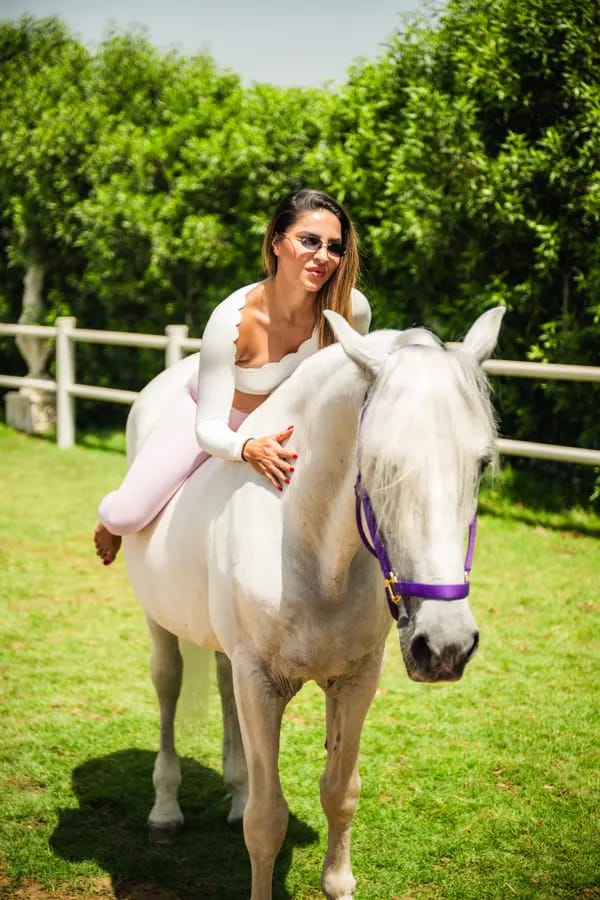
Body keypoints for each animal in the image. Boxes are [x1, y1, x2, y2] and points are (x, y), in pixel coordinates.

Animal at [123, 306, 505, 900]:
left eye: (482, 462)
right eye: (380, 460)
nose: (445, 645)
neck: (307, 549)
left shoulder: (355, 680)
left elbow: (340, 793)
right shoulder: (260, 682)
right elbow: (267, 821)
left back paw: (234, 793)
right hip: (159, 623)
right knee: (168, 688)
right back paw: (165, 812)